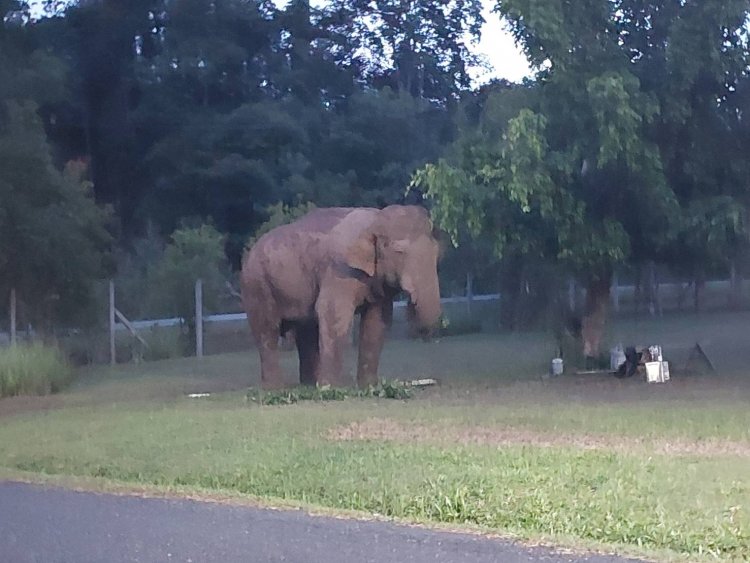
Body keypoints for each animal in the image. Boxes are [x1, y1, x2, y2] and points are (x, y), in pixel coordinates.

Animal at [241, 205, 444, 390]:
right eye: (399, 252)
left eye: (437, 253)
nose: (411, 302)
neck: (376, 218)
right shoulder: (339, 270)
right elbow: (333, 313)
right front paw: (330, 389)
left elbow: (377, 322)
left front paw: (369, 387)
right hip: (257, 286)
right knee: (267, 331)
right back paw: (274, 389)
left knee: (307, 330)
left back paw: (308, 385)